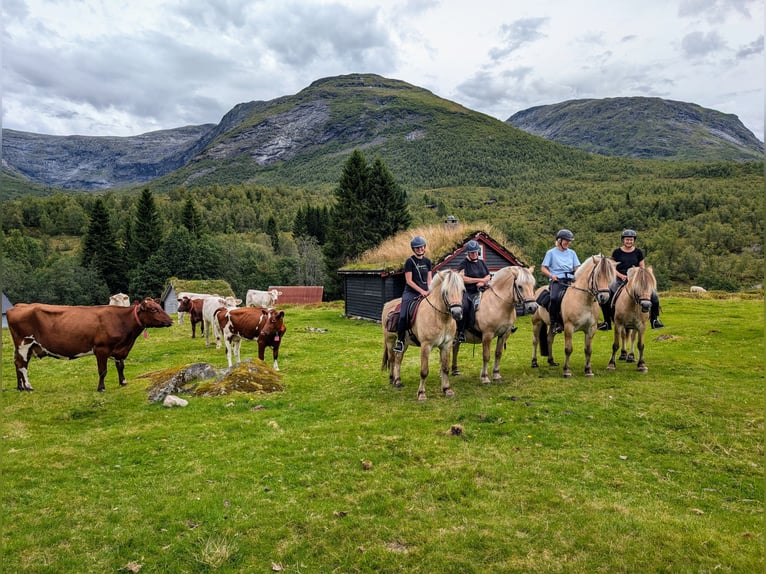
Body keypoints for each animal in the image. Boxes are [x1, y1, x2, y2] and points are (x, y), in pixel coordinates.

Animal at [7, 300, 173, 394]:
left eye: (160, 306)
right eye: (154, 309)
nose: (170, 320)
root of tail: (18, 306)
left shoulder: (119, 349)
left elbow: (120, 366)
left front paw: (123, 382)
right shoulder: (101, 349)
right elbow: (103, 371)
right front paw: (101, 388)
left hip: (27, 346)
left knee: (17, 363)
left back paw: (20, 387)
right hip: (25, 343)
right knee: (22, 365)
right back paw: (28, 387)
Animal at [380, 268, 464, 400]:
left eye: (462, 291)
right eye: (445, 292)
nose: (457, 313)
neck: (439, 317)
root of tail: (387, 304)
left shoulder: (446, 345)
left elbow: (445, 368)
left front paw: (447, 390)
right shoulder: (426, 346)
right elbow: (424, 371)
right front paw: (421, 394)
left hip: (404, 342)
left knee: (398, 358)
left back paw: (398, 381)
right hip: (390, 340)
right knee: (392, 358)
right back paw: (392, 379)